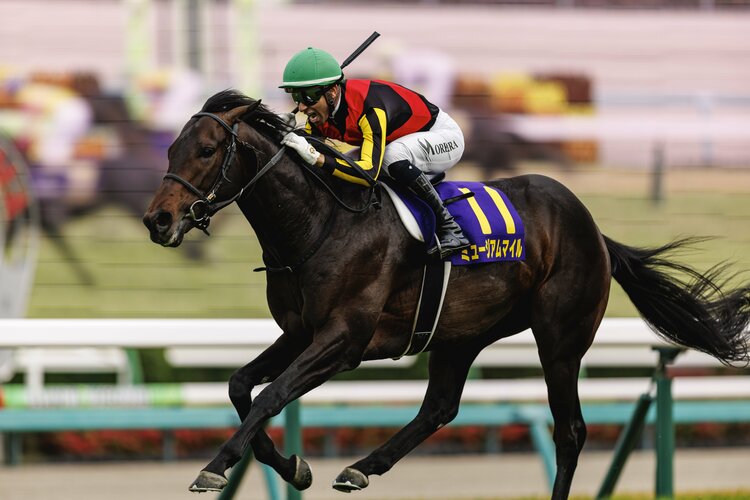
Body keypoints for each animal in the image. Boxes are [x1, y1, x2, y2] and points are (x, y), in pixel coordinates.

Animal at [143, 89, 750, 499]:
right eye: (170, 148)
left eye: (206, 149)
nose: (158, 221)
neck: (319, 223)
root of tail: (595, 230)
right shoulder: (299, 333)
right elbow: (240, 385)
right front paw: (292, 465)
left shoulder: (344, 339)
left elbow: (272, 395)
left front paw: (217, 465)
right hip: (460, 333)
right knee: (440, 407)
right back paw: (361, 467)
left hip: (560, 339)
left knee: (570, 431)